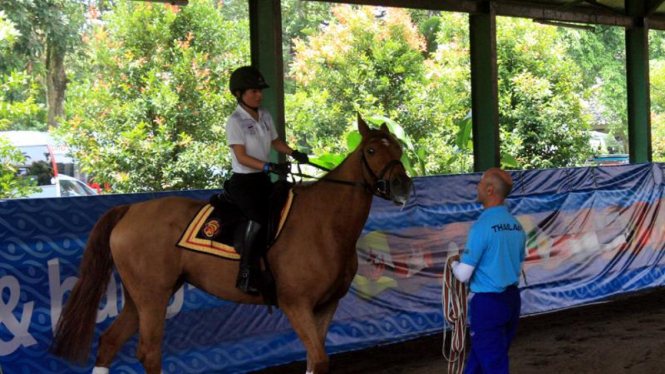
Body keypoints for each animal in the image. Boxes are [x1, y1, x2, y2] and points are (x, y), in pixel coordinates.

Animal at [53, 117, 410, 374]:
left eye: (399, 150)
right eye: (372, 151)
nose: (403, 186)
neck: (325, 222)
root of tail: (130, 210)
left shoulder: (326, 305)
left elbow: (316, 361)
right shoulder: (296, 305)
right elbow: (319, 359)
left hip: (138, 297)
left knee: (110, 343)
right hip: (153, 297)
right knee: (149, 353)